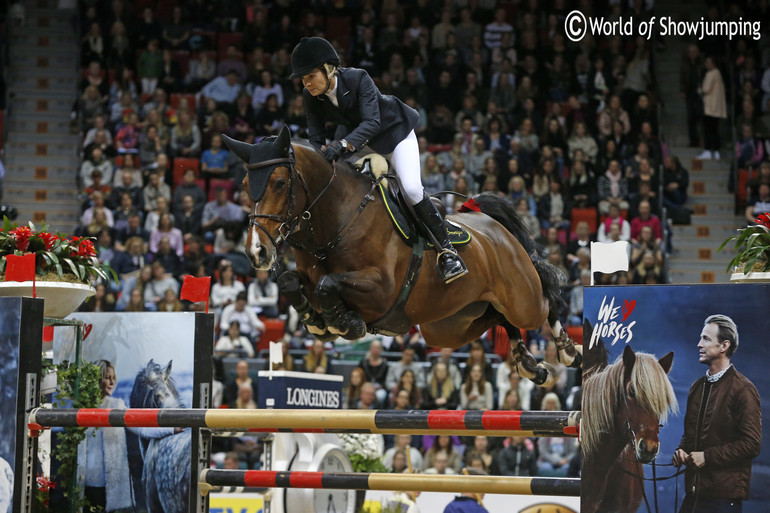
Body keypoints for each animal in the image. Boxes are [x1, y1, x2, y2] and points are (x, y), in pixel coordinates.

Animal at [219, 126, 580, 386]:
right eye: (246, 183)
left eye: (280, 183)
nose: (257, 251)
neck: (336, 222)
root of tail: (491, 224)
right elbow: (290, 282)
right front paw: (316, 320)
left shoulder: (381, 290)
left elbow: (328, 283)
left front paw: (343, 322)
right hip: (451, 324)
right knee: (500, 319)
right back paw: (531, 365)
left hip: (521, 297)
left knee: (545, 299)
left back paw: (566, 350)